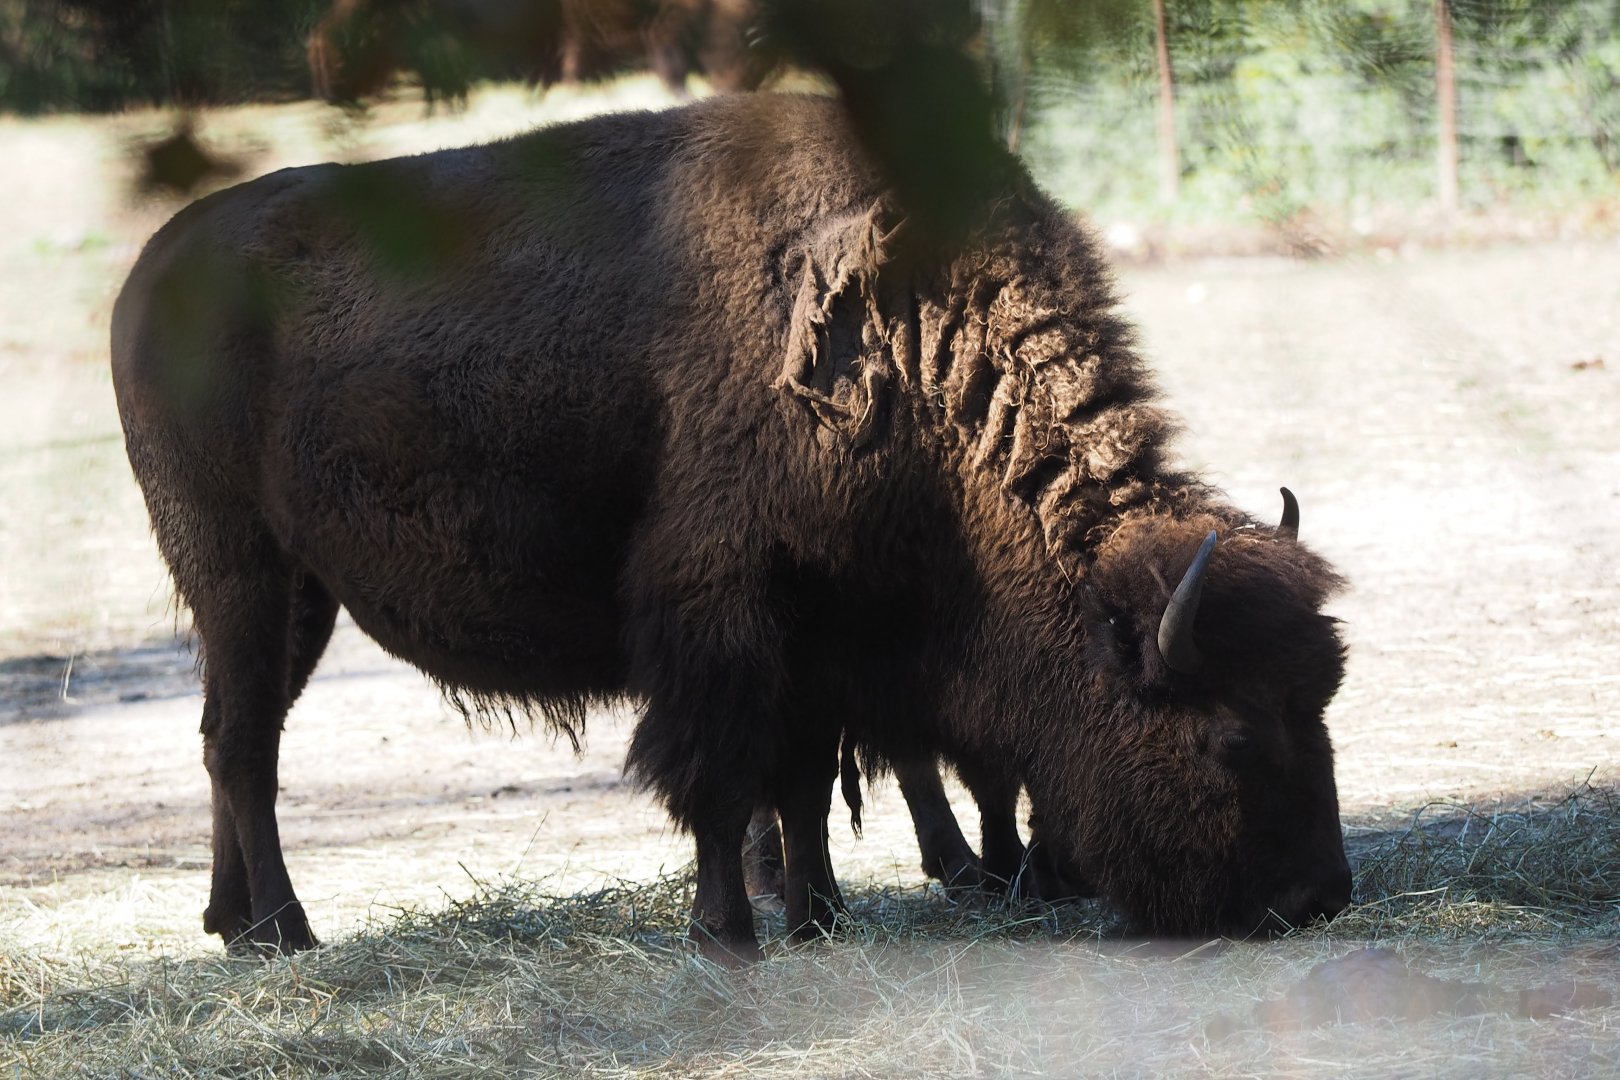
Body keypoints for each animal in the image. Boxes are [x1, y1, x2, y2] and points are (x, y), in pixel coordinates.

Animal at [111, 92, 1351, 961]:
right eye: (1231, 735)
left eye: (1321, 703)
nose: (1319, 899)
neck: (916, 341)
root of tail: (150, 272)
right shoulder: (729, 608)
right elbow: (723, 772)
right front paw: (731, 932)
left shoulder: (830, 629)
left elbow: (799, 780)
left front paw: (817, 918)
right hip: (238, 570)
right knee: (244, 743)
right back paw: (285, 931)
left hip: (299, 597)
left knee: (232, 735)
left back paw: (233, 925)